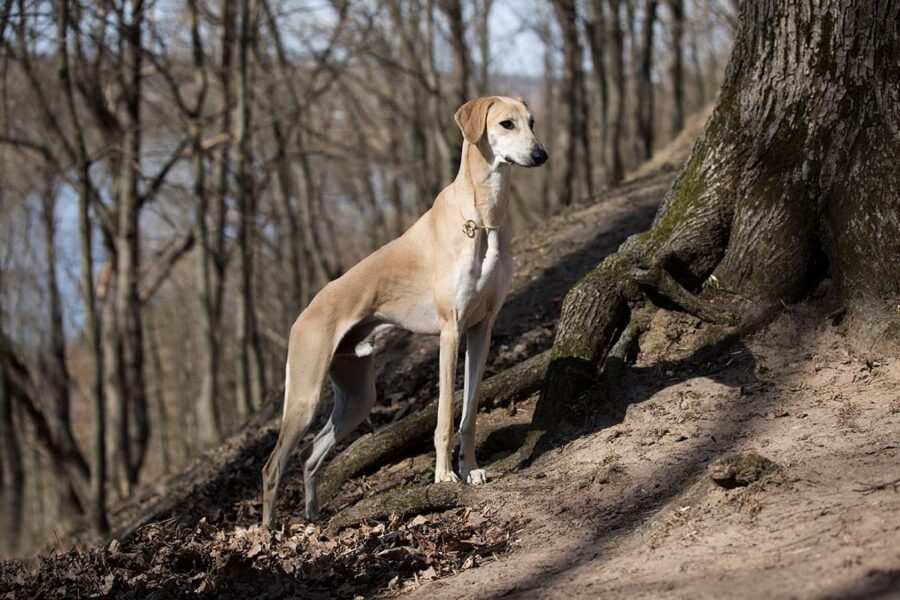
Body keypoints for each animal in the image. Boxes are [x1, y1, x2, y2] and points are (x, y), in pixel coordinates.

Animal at [260, 95, 548, 524]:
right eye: (506, 124)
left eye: (532, 122)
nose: (540, 154)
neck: (482, 218)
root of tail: (302, 314)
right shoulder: (450, 331)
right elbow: (444, 416)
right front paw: (445, 476)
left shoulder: (481, 330)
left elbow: (468, 415)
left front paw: (471, 470)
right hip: (305, 397)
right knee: (272, 466)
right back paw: (266, 532)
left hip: (357, 397)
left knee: (310, 455)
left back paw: (312, 516)